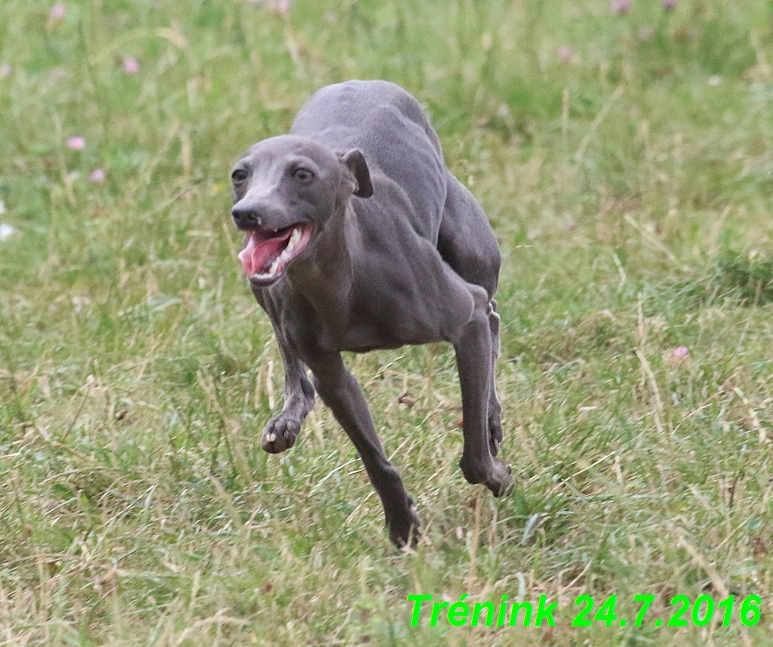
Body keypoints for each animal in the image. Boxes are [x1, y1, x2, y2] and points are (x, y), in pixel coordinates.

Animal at [229, 79, 510, 548]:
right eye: (240, 175)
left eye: (302, 173)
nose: (247, 213)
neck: (341, 281)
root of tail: (361, 81)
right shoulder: (333, 377)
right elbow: (374, 460)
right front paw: (402, 524)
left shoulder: (464, 318)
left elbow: (473, 455)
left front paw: (497, 475)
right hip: (261, 291)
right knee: (290, 358)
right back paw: (288, 417)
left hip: (473, 252)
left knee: (491, 317)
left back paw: (490, 419)